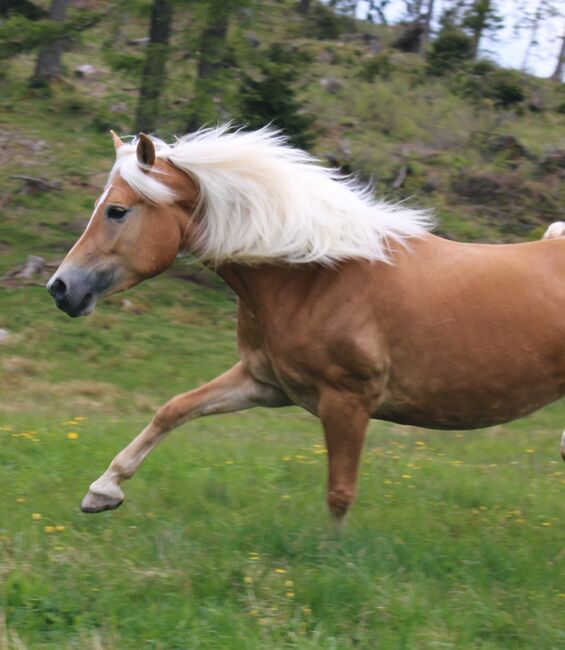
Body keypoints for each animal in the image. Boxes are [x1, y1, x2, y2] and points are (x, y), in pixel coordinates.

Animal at [47, 128, 564, 520]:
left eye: (117, 210)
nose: (60, 287)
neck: (317, 275)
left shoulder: (347, 402)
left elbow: (339, 495)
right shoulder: (265, 383)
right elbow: (173, 410)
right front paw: (103, 490)